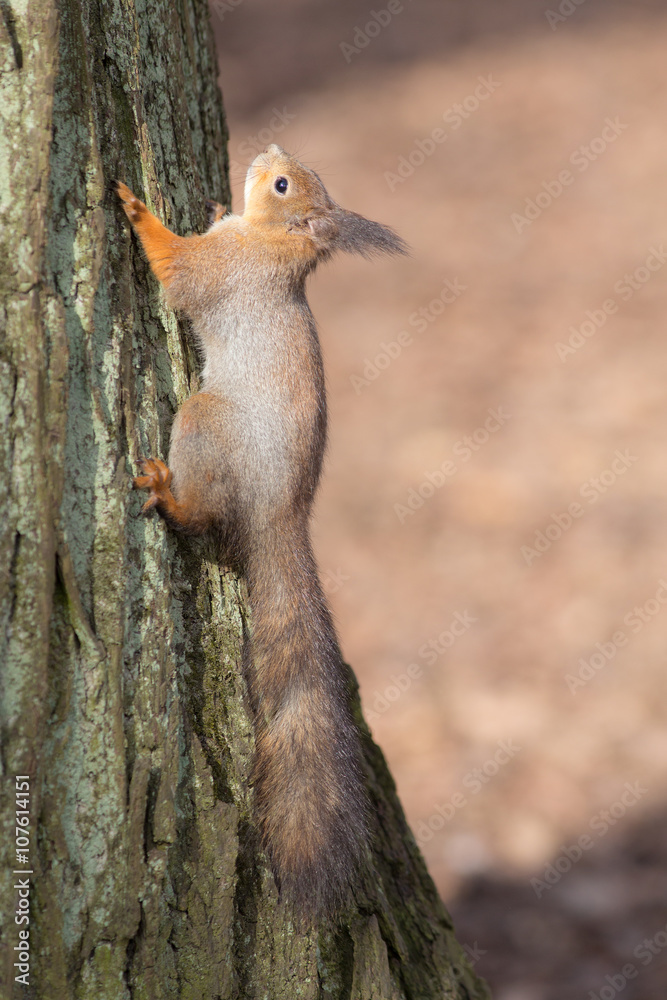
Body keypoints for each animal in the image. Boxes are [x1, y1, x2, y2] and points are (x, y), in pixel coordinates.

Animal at [117, 145, 406, 918]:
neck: (276, 245)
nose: (268, 151)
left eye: (280, 185)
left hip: (203, 421)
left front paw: (135, 207)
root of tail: (283, 514)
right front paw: (215, 204)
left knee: (200, 512)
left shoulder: (222, 270)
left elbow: (177, 268)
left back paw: (167, 493)